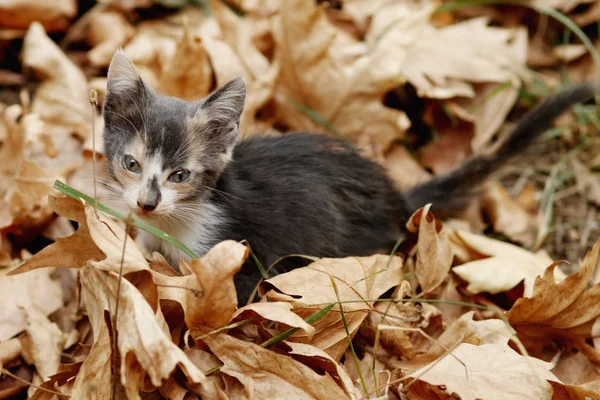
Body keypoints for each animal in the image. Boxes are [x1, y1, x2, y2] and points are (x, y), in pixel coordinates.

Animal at [103, 50, 596, 304]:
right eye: (131, 164)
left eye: (180, 174)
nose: (146, 203)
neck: (180, 220)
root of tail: (396, 200)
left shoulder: (241, 254)